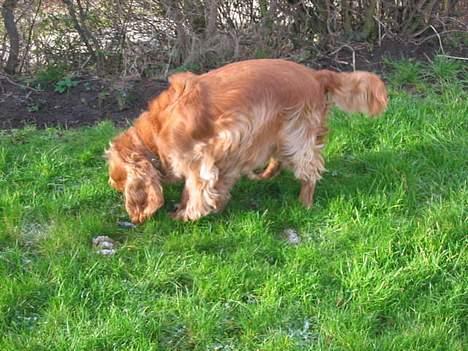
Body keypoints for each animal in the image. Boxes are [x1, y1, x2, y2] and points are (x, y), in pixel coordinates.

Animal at [107, 58, 388, 223]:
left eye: (118, 181)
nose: (111, 185)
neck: (154, 134)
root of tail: (316, 75)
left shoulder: (200, 158)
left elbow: (196, 189)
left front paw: (185, 214)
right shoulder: (226, 153)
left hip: (296, 133)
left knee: (309, 171)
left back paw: (304, 203)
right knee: (279, 158)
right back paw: (265, 175)